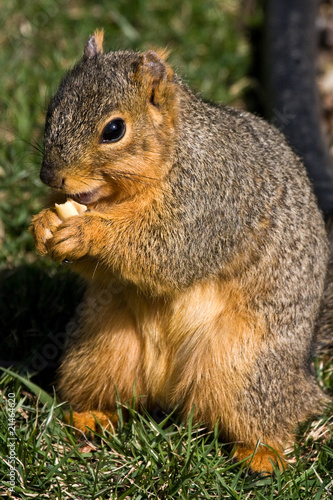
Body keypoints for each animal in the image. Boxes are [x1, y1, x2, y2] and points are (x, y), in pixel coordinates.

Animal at [30, 29, 330, 474]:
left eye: (114, 129)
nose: (50, 176)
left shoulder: (210, 198)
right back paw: (90, 416)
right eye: (53, 108)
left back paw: (263, 457)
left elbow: (167, 250)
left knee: (268, 417)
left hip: (245, 367)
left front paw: (87, 231)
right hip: (99, 350)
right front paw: (44, 224)